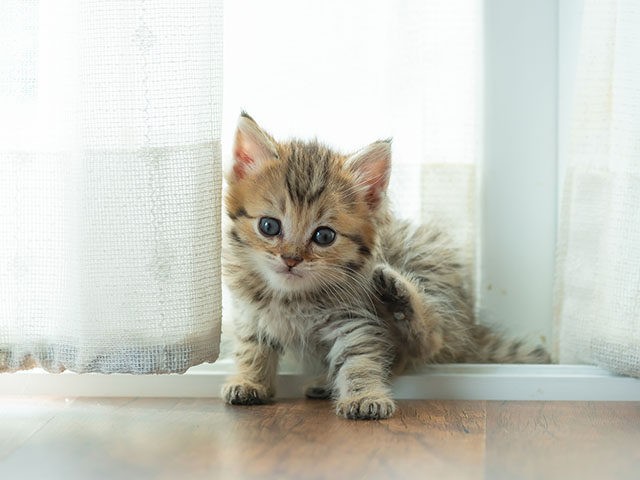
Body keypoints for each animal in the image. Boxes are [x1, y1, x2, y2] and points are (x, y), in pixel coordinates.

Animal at [221, 112, 552, 420]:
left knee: (429, 341)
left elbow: (360, 359)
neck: (291, 295)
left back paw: (399, 298)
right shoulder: (251, 314)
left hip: (424, 260)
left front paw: (364, 396)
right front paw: (250, 382)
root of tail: (471, 323)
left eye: (324, 236)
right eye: (269, 226)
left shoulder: (356, 320)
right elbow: (251, 347)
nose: (291, 259)